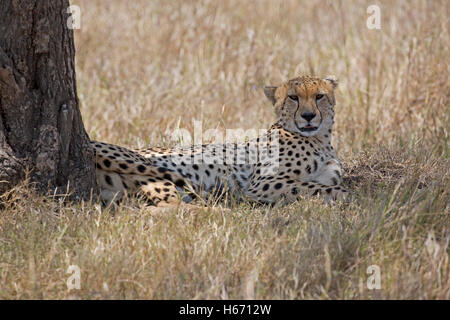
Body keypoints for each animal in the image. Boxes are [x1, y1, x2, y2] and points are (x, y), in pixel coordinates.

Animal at [92, 74, 348, 206]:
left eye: (319, 96)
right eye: (293, 98)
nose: (308, 116)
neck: (320, 140)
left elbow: (323, 184)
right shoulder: (262, 183)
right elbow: (320, 187)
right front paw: (345, 196)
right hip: (151, 169)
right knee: (173, 208)